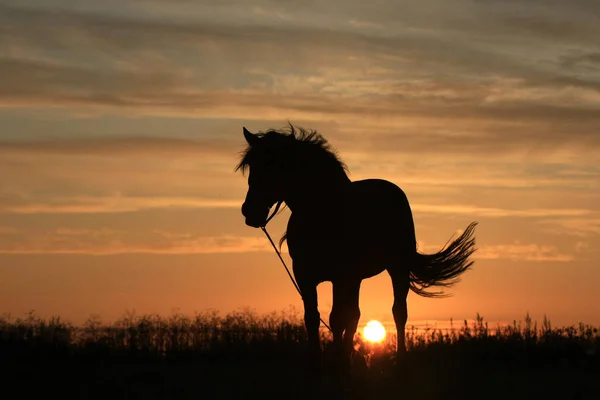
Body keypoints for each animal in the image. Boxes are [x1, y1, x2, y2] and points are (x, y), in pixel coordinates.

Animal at [237, 125, 476, 376]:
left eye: (272, 164)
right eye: (252, 166)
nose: (249, 211)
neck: (323, 214)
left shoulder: (342, 276)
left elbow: (337, 319)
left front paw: (337, 365)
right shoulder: (305, 275)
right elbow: (313, 318)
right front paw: (316, 366)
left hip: (395, 269)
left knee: (398, 312)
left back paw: (398, 363)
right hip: (357, 280)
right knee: (355, 314)